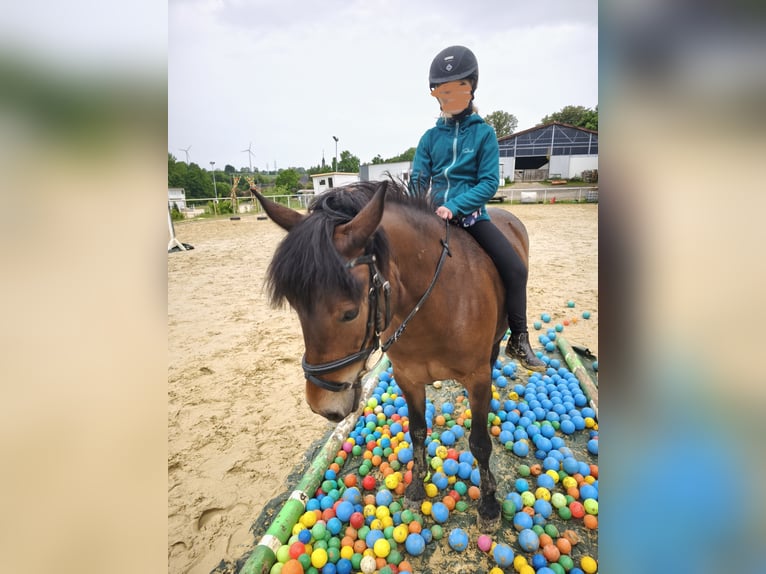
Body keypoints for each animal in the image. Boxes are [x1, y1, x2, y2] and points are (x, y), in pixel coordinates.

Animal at [254, 179, 530, 531]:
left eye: (349, 313)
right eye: (296, 307)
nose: (322, 406)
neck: (436, 306)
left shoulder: (477, 378)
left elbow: (480, 443)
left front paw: (490, 505)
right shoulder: (407, 377)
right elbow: (417, 431)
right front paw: (416, 488)